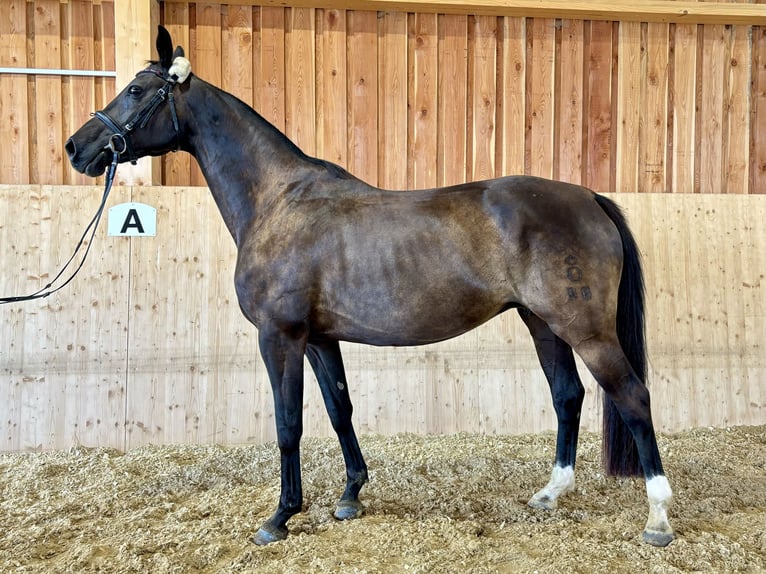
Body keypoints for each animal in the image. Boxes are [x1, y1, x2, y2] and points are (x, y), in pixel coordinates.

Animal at [67, 25, 680, 548]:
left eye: (137, 89)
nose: (78, 147)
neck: (278, 201)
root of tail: (588, 197)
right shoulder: (319, 339)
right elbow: (340, 410)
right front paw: (350, 496)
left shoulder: (279, 336)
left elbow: (288, 424)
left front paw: (280, 517)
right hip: (543, 324)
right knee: (568, 396)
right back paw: (551, 493)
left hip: (586, 330)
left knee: (633, 397)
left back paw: (657, 518)